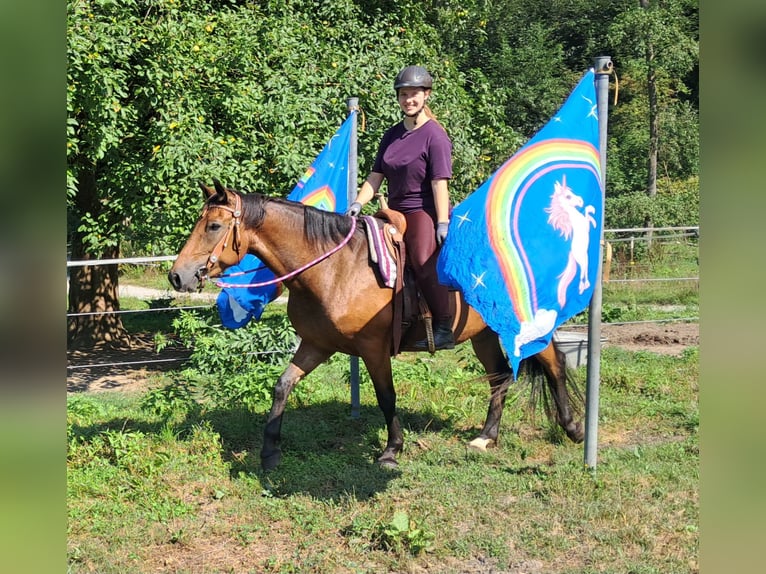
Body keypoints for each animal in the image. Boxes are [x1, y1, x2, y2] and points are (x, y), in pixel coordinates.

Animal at [170, 181, 588, 472]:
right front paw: (270, 451)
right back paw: (487, 436)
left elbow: (387, 397)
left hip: (526, 329)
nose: (177, 276)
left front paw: (391, 450)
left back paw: (572, 428)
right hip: (483, 335)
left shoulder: (373, 349)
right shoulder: (316, 344)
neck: (334, 268)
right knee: (499, 375)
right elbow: (282, 386)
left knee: (553, 365)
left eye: (214, 225)